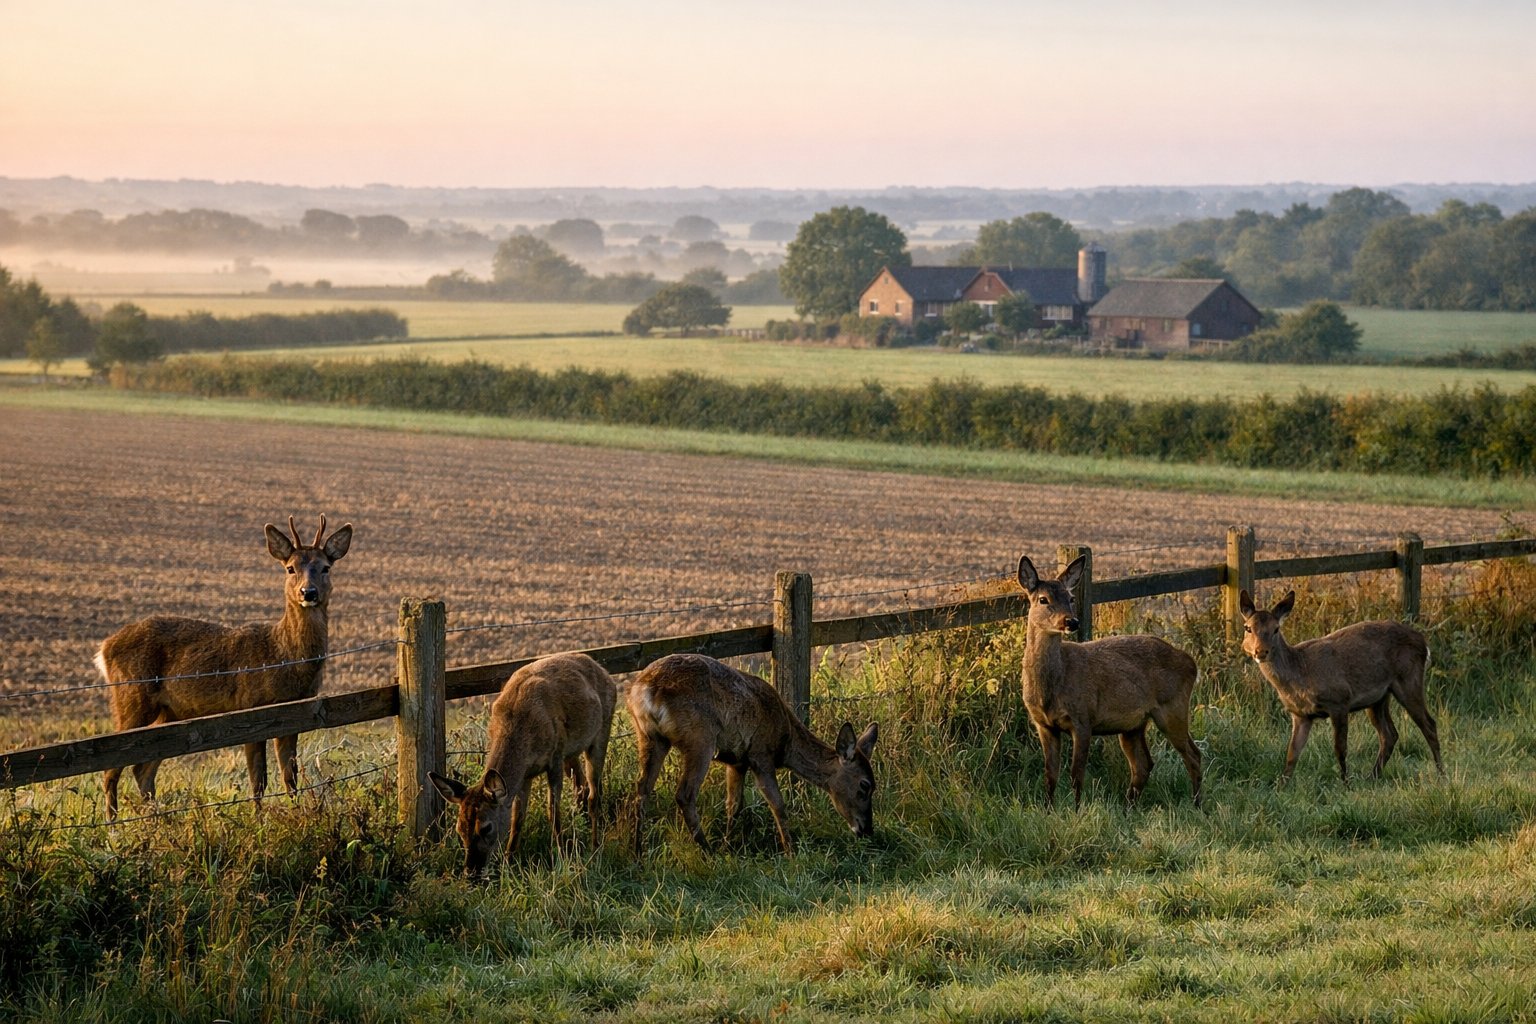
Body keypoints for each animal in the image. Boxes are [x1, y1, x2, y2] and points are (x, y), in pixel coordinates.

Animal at [95, 515, 353, 820]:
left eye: (325, 567)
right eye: (290, 568)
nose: (308, 592)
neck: (282, 655)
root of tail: (105, 647)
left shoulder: (297, 713)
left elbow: (290, 777)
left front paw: (297, 811)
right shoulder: (249, 708)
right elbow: (258, 781)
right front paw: (258, 818)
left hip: (168, 712)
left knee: (142, 768)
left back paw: (157, 820)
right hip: (131, 698)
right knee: (112, 768)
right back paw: (113, 824)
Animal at [429, 652, 616, 876]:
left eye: (486, 827)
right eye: (459, 830)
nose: (471, 871)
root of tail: (604, 671)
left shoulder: (555, 756)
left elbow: (553, 811)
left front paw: (562, 857)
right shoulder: (526, 773)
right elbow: (517, 818)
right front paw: (508, 862)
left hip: (601, 731)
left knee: (593, 794)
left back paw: (595, 847)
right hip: (572, 751)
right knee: (581, 785)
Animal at [627, 652, 879, 856]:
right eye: (865, 785)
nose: (866, 830)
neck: (785, 741)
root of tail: (648, 689)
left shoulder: (737, 761)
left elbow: (734, 804)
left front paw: (728, 846)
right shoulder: (760, 754)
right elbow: (777, 804)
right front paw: (791, 852)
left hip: (649, 736)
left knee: (642, 788)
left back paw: (638, 852)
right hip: (700, 737)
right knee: (684, 794)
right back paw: (707, 852)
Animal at [1016, 554, 1203, 809]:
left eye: (1071, 597)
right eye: (1043, 599)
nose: (1071, 622)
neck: (1052, 688)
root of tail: (1191, 662)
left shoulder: (1083, 718)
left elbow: (1076, 774)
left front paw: (1076, 811)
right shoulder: (1043, 724)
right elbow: (1050, 775)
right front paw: (1048, 810)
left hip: (1173, 708)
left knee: (1194, 755)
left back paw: (1198, 805)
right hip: (1133, 725)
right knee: (1143, 764)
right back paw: (1129, 808)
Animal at [1239, 589, 1444, 783]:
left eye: (1276, 629)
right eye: (1248, 628)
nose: (1261, 651)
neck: (1300, 673)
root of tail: (1423, 642)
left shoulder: (1339, 700)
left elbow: (1340, 749)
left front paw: (1346, 784)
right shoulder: (1300, 714)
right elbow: (1292, 754)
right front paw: (1281, 786)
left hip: (1409, 680)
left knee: (1429, 725)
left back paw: (1441, 774)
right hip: (1379, 698)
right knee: (1389, 734)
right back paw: (1372, 776)